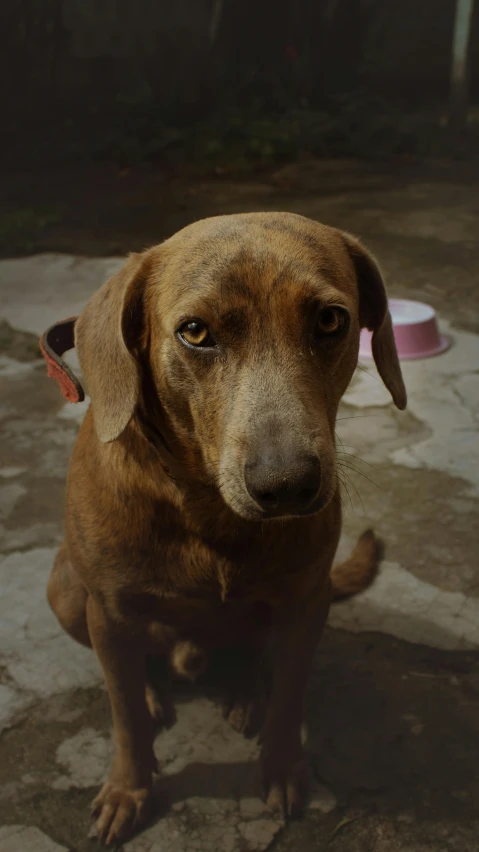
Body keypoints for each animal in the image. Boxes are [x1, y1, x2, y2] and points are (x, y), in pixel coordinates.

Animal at [45, 211, 406, 844]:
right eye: (195, 332)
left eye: (331, 320)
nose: (286, 484)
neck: (208, 509)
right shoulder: (107, 610)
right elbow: (124, 718)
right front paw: (129, 789)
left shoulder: (307, 604)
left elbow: (289, 698)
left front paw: (282, 767)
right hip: (66, 591)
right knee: (131, 674)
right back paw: (154, 690)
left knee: (251, 655)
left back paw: (244, 691)